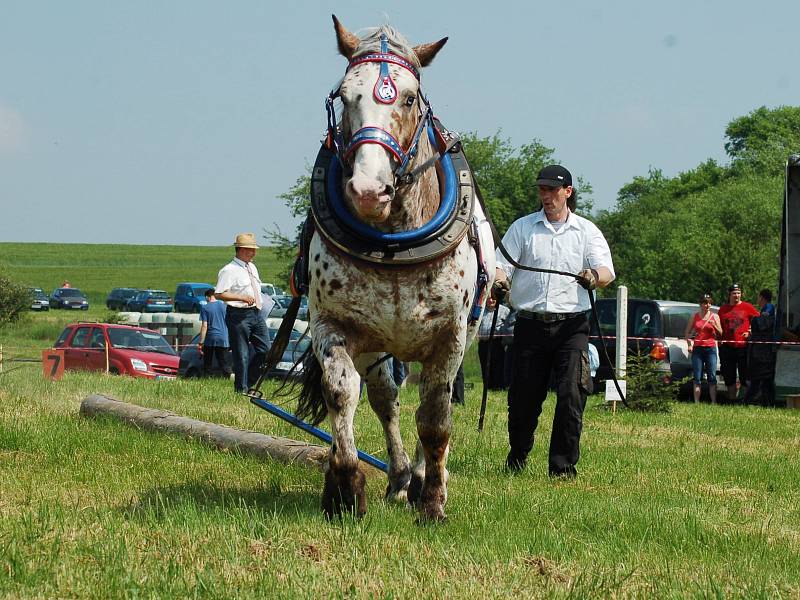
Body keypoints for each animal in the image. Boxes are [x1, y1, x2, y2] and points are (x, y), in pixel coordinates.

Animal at [296, 16, 494, 524]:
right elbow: (342, 396)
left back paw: (421, 478)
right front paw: (346, 488)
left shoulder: (450, 338)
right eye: (344, 96)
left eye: (407, 97)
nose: (368, 190)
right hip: (376, 348)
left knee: (427, 403)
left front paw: (434, 502)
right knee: (385, 399)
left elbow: (436, 419)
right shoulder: (334, 326)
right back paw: (400, 478)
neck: (394, 243)